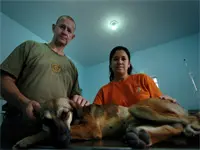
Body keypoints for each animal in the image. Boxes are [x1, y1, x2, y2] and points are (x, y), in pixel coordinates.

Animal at [12, 97, 200, 149]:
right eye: (46, 120)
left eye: (65, 114)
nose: (60, 142)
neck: (76, 117)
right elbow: (44, 131)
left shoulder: (90, 129)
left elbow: (43, 133)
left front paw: (28, 139)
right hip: (136, 120)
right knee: (172, 129)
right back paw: (139, 137)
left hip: (140, 108)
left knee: (186, 120)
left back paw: (192, 127)